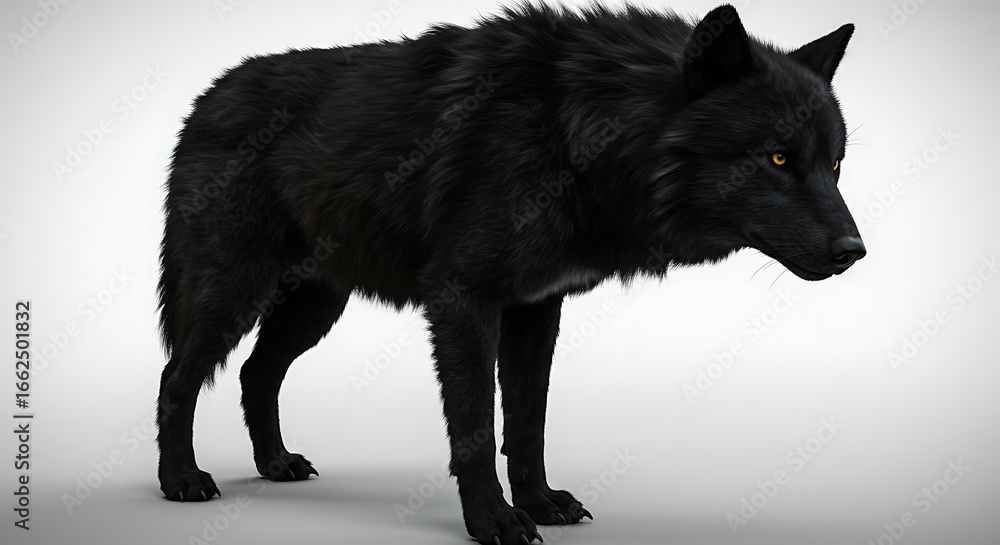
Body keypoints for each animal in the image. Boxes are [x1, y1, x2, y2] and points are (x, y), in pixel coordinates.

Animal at [155, 3, 865, 544]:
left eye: (833, 165)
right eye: (778, 158)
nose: (855, 251)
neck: (580, 133)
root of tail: (208, 96)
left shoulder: (535, 306)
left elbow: (527, 420)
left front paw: (541, 503)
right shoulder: (462, 301)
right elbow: (475, 427)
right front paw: (493, 521)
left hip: (314, 307)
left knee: (255, 372)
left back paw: (274, 464)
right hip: (232, 291)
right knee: (178, 375)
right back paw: (181, 481)